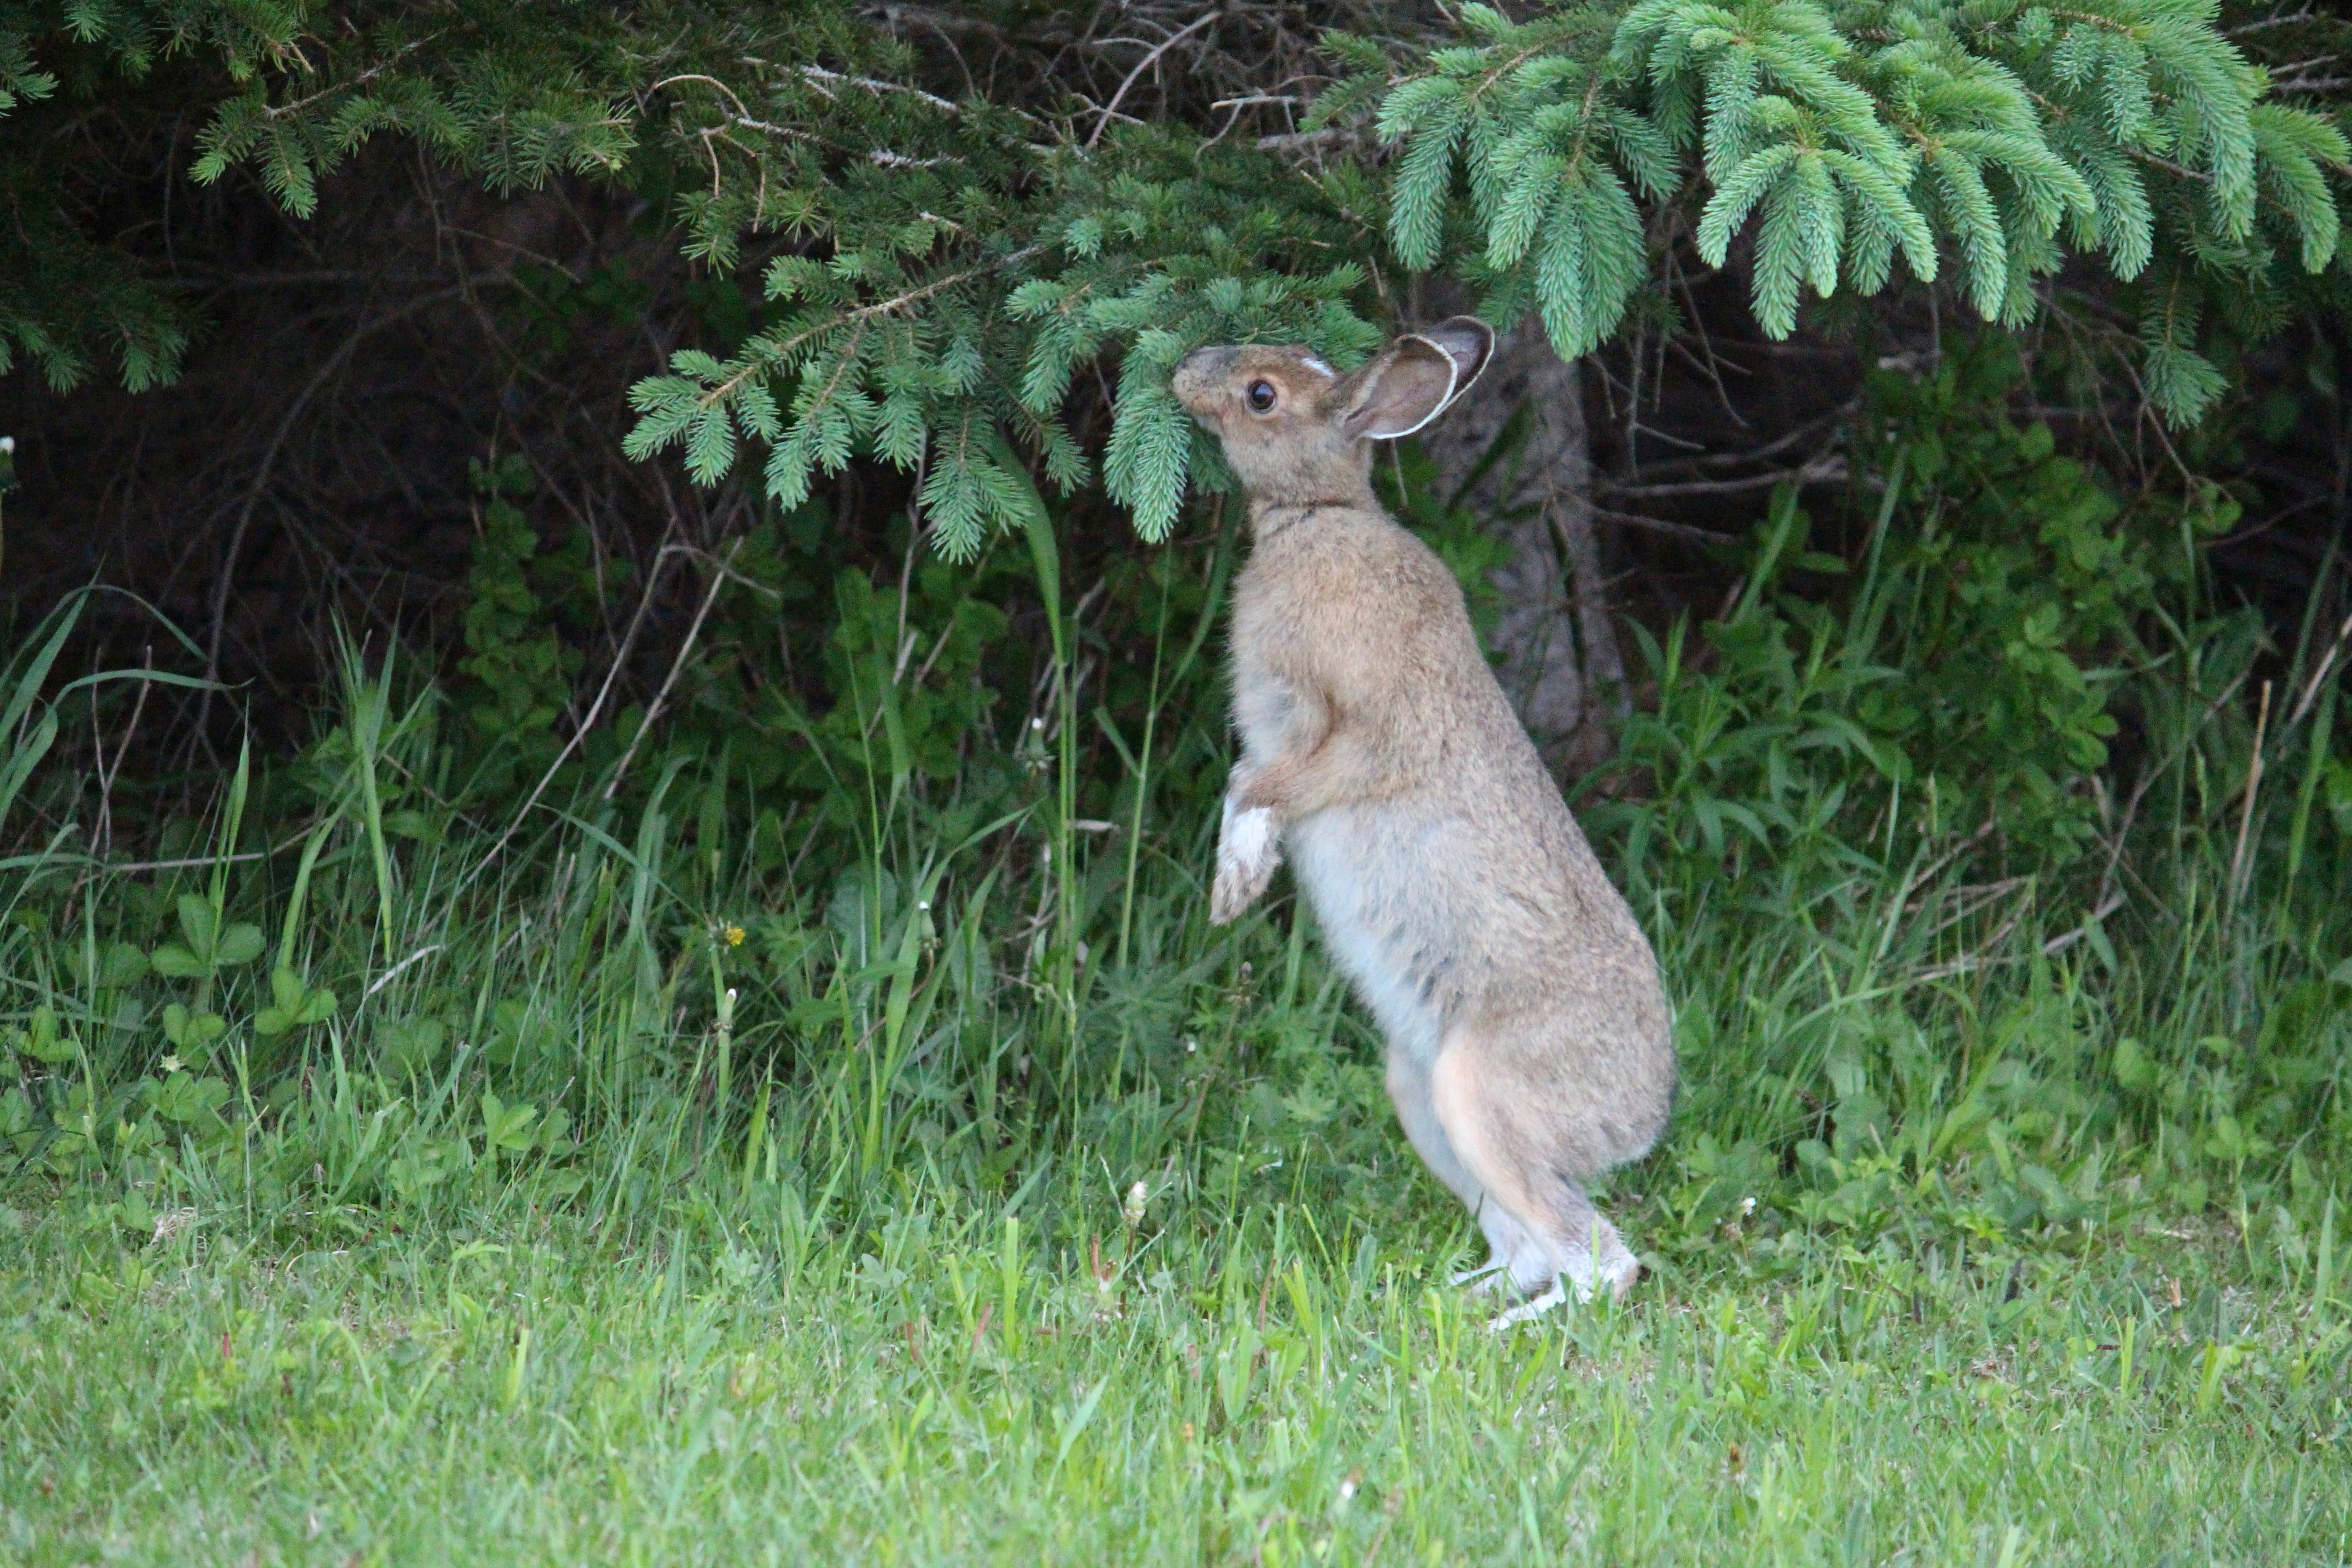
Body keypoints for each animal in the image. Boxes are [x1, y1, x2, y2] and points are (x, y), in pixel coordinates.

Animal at [1172, 317, 1675, 1322]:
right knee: (1527, 1247)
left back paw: (1505, 1331)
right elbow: (1252, 780)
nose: (1180, 372)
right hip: (1419, 1093)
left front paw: (1235, 883)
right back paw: (1443, 1305)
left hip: (1482, 1097)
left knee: (1597, 1262)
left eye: (1260, 396)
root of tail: (1643, 1115)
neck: (1320, 514)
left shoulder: (1367, 730)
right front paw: (1238, 881)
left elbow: (1263, 787)